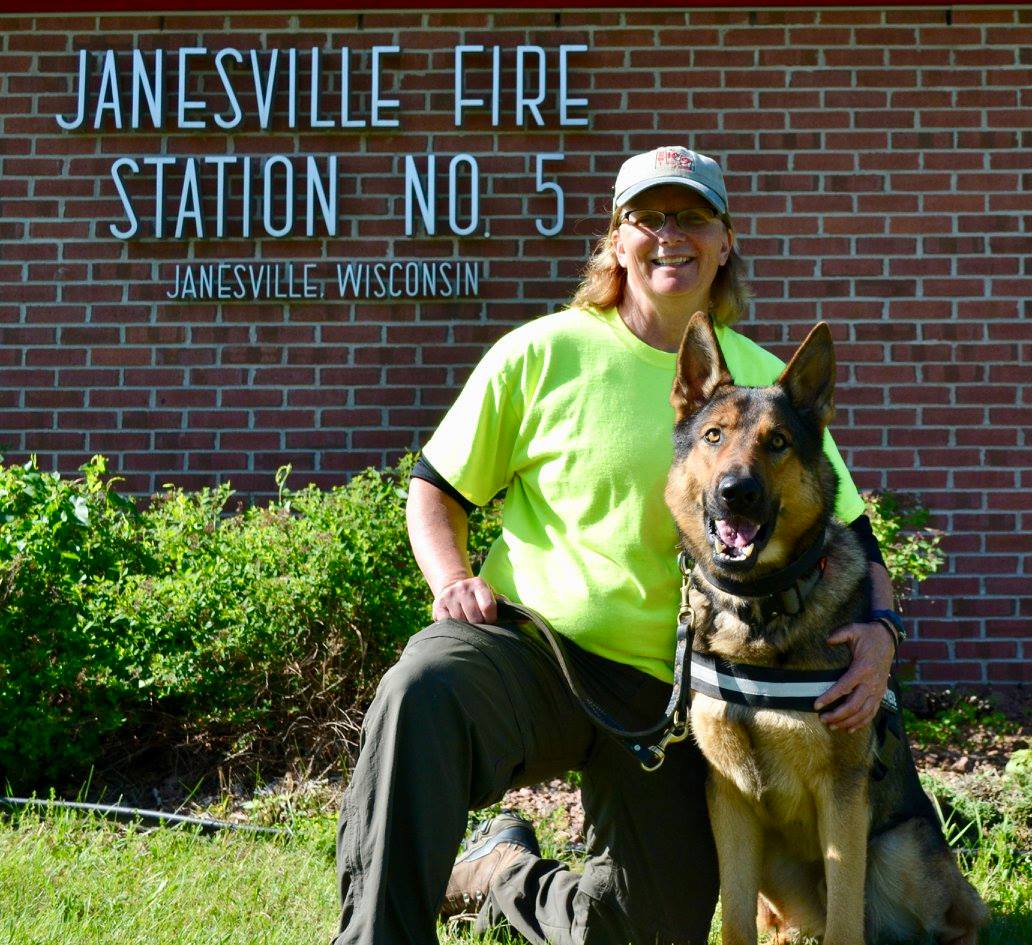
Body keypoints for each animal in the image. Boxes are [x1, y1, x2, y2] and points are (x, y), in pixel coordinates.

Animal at [664, 315, 986, 945]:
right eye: (713, 436)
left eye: (778, 443)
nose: (736, 492)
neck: (759, 608)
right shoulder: (728, 799)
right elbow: (735, 921)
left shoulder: (843, 794)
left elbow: (843, 922)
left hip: (898, 846)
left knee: (961, 920)